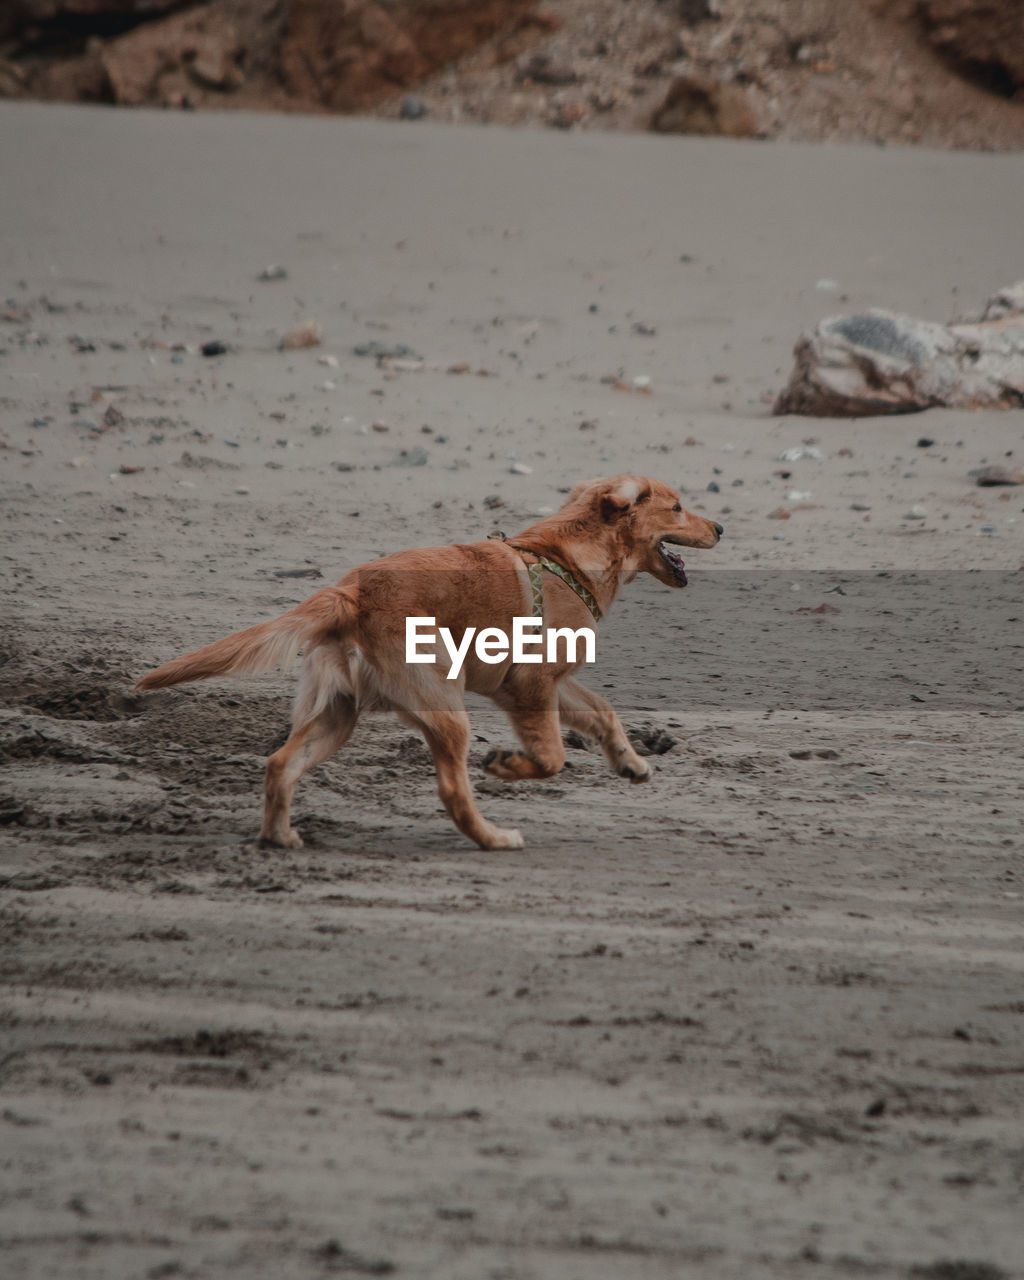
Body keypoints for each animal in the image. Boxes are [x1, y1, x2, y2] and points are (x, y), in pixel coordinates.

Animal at [138, 476, 721, 844]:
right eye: (677, 507)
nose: (721, 529)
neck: (565, 559)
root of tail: (352, 592)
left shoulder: (552, 683)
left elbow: (603, 711)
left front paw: (631, 762)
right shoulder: (531, 685)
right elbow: (552, 757)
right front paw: (510, 765)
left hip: (337, 714)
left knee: (281, 764)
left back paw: (279, 838)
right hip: (444, 705)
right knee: (453, 791)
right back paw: (495, 838)